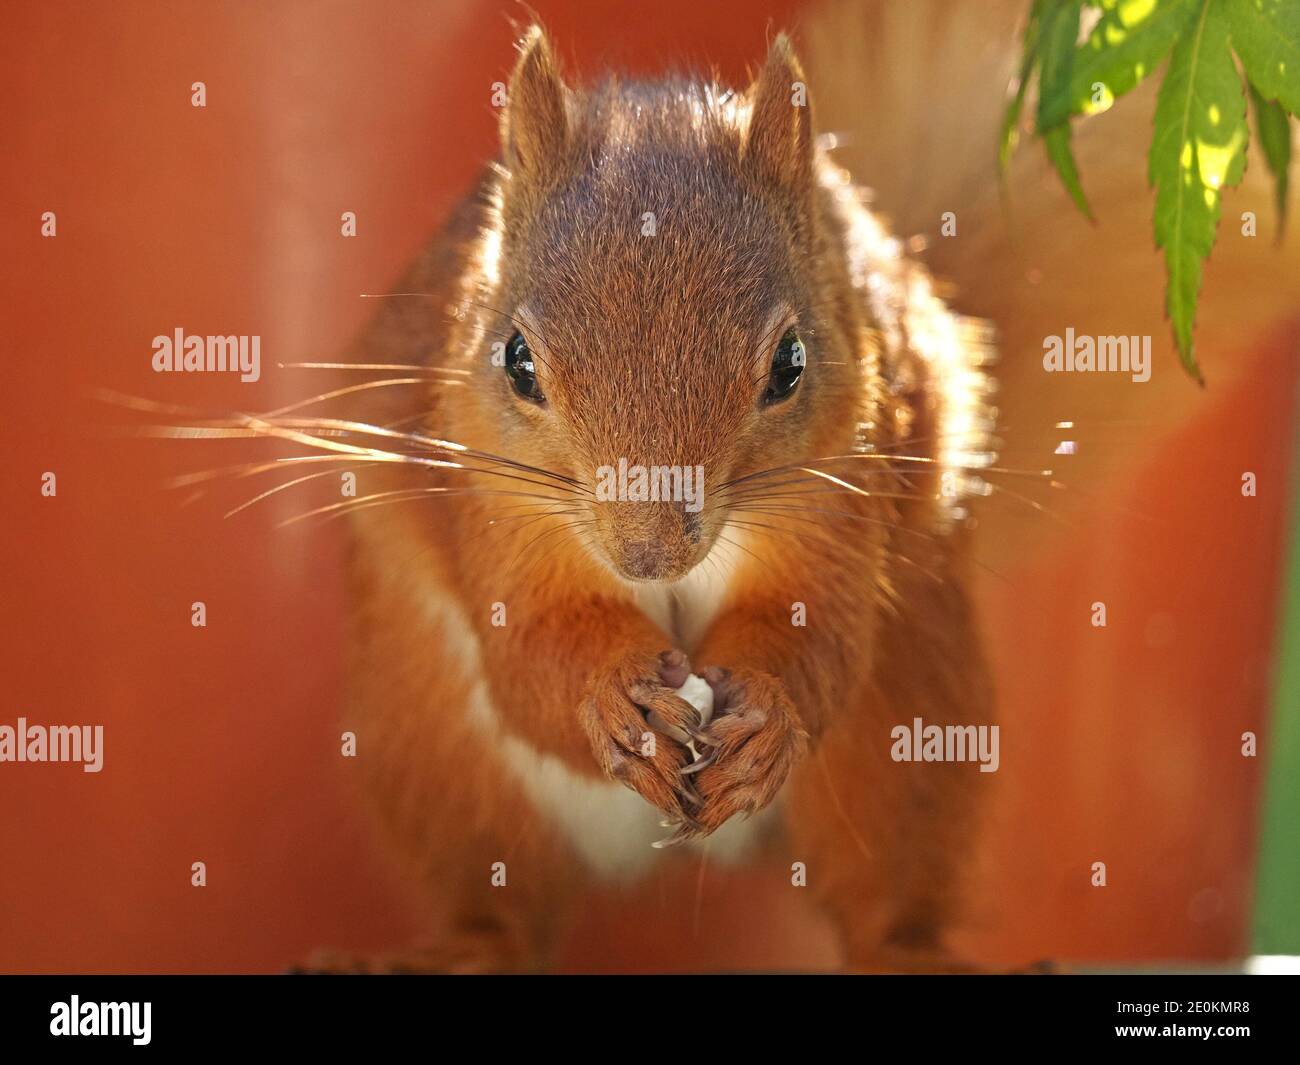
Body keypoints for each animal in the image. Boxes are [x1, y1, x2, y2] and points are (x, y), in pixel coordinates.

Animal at [327, 23, 1001, 974]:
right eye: (516, 361)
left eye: (790, 363)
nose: (647, 555)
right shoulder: (498, 510)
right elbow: (529, 650)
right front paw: (617, 701)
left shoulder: (836, 489)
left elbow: (819, 636)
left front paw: (767, 719)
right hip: (435, 748)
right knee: (502, 904)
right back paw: (463, 946)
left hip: (911, 721)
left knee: (885, 885)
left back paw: (904, 948)